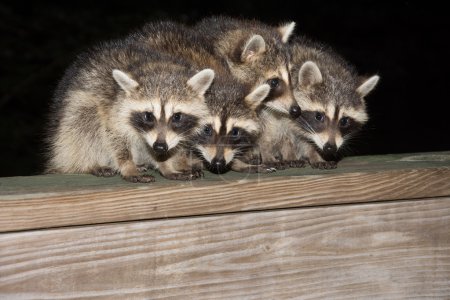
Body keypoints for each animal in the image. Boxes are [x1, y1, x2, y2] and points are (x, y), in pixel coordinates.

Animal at [45, 39, 214, 183]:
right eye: (148, 116)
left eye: (177, 116)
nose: (160, 146)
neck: (158, 67)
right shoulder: (113, 108)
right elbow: (114, 137)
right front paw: (128, 166)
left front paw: (166, 164)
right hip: (76, 113)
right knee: (85, 122)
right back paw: (88, 164)